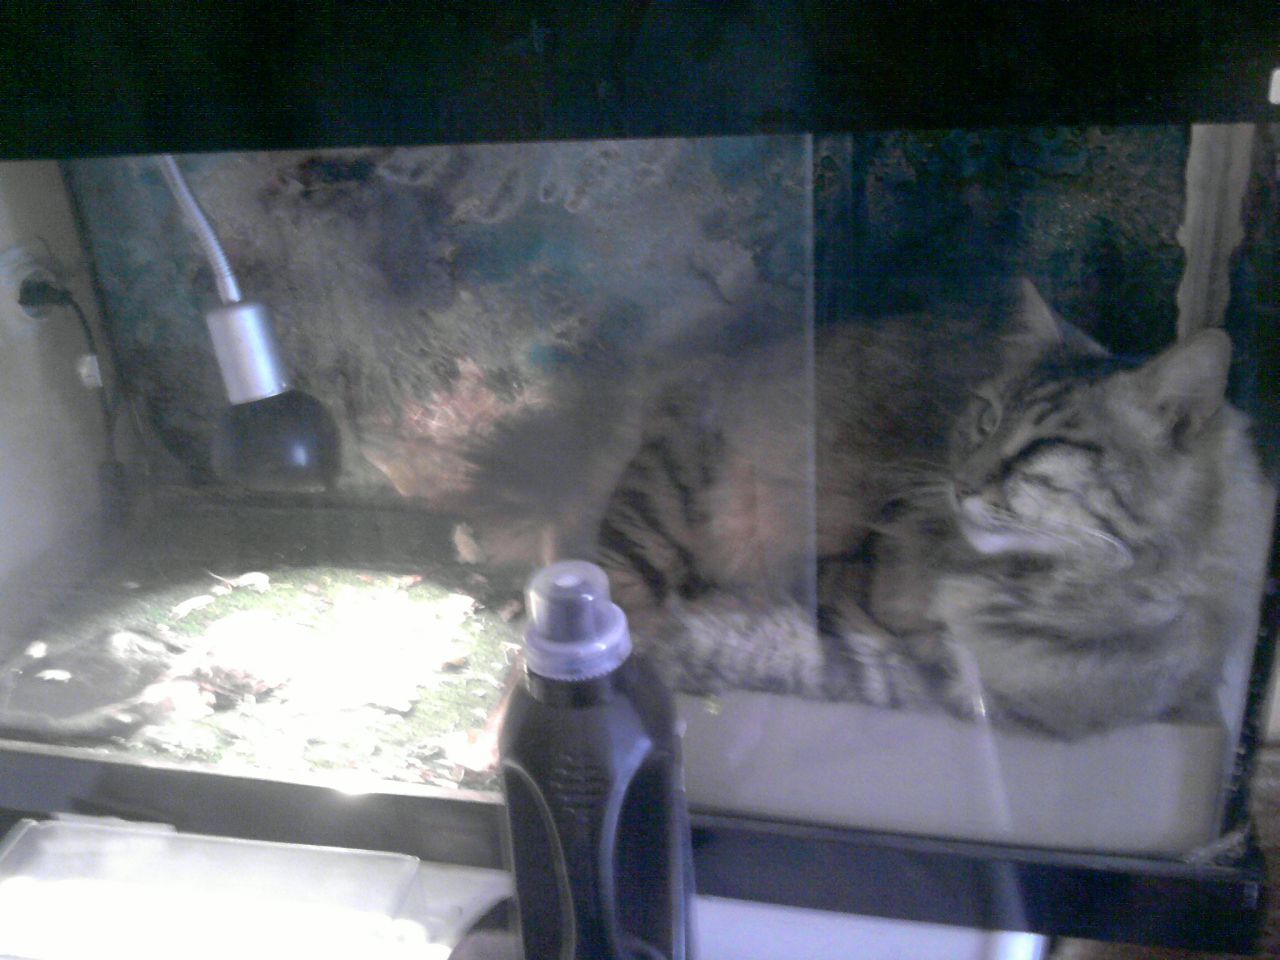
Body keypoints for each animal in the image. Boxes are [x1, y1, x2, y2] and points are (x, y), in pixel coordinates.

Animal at [421, 279, 1274, 738]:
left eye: (1041, 446)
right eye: (985, 419)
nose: (962, 482)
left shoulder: (960, 681)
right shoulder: (850, 583)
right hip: (677, 503)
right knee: (586, 608)